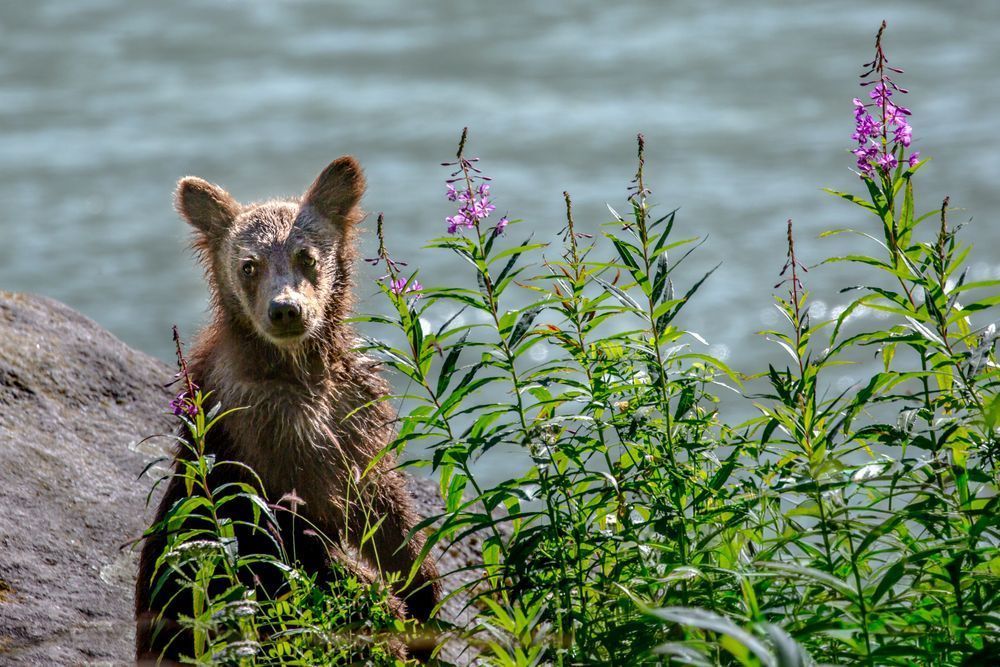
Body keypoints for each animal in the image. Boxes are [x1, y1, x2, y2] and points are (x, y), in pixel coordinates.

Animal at [135, 156, 441, 663]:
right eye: (249, 264)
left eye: (306, 255)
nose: (285, 310)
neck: (299, 369)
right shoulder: (264, 432)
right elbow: (297, 538)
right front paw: (383, 604)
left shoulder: (353, 412)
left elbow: (383, 505)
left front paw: (422, 589)